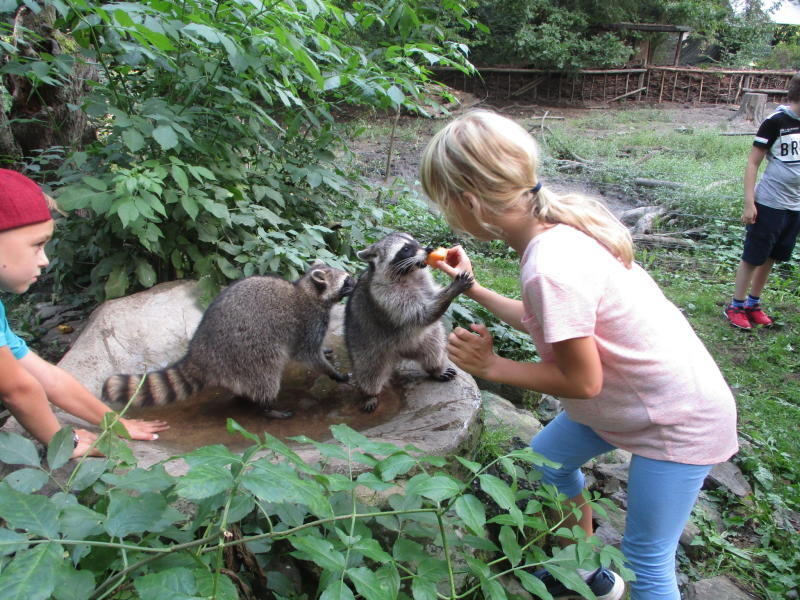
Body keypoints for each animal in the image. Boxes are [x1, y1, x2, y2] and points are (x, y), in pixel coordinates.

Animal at [102, 260, 356, 420]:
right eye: (347, 281)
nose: (356, 279)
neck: (308, 290)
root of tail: (199, 352)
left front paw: (327, 352)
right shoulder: (308, 321)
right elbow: (307, 354)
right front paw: (333, 371)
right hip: (248, 352)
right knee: (267, 376)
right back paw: (267, 408)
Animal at [346, 231, 476, 412]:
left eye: (416, 242)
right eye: (405, 249)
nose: (429, 249)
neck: (408, 272)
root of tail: (399, 353)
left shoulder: (423, 280)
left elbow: (429, 300)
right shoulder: (384, 293)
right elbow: (420, 314)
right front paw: (453, 289)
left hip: (424, 340)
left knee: (433, 347)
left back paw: (435, 368)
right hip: (366, 347)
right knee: (369, 372)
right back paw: (370, 394)